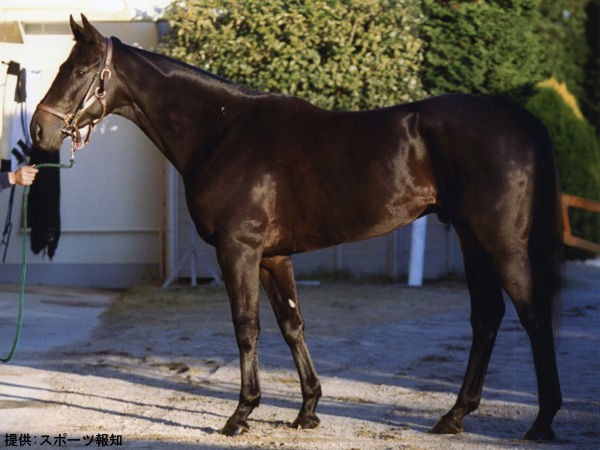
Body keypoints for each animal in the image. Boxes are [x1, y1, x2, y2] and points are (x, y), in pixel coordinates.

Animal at [29, 16, 564, 440]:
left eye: (78, 71)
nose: (39, 130)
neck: (222, 131)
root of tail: (523, 120)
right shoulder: (273, 256)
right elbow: (292, 325)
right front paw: (307, 410)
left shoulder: (239, 249)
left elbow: (247, 327)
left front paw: (241, 414)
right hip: (474, 240)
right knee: (487, 318)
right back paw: (454, 416)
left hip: (501, 243)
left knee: (533, 315)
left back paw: (542, 421)